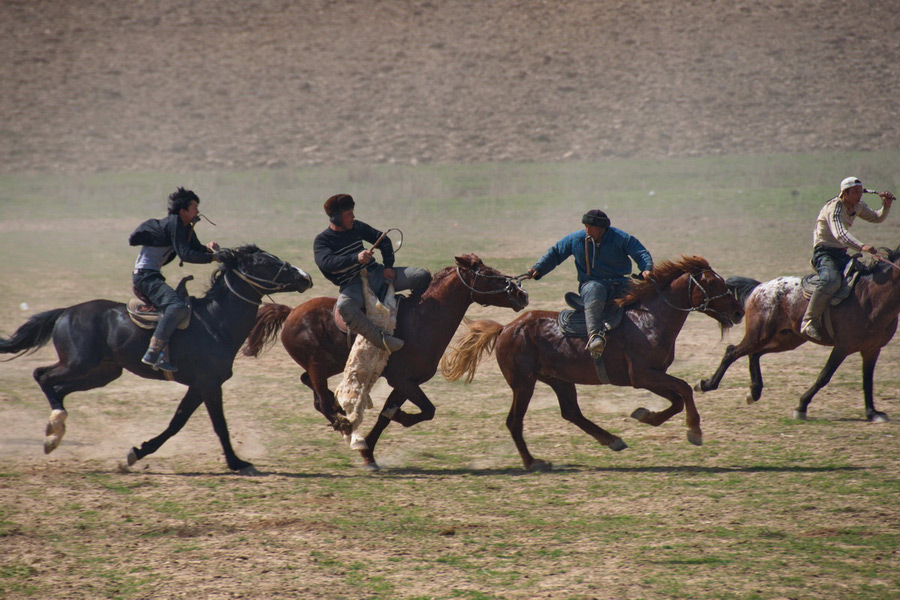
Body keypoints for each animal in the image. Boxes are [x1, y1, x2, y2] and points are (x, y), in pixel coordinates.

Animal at [0, 245, 314, 474]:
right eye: (264, 262)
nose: (305, 277)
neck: (215, 322)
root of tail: (66, 312)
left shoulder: (198, 386)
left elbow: (177, 423)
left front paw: (136, 453)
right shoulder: (210, 384)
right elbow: (219, 426)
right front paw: (237, 463)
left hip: (102, 373)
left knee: (59, 388)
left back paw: (55, 432)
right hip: (79, 364)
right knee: (42, 375)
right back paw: (53, 431)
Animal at [243, 253, 532, 468]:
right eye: (489, 275)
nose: (521, 294)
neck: (422, 319)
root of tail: (292, 312)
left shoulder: (405, 384)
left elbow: (387, 416)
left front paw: (368, 452)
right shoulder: (404, 381)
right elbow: (427, 410)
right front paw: (398, 420)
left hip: (329, 365)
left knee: (312, 388)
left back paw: (340, 414)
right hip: (318, 364)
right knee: (321, 398)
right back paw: (342, 420)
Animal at [442, 255, 744, 472]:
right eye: (712, 283)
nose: (739, 311)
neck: (650, 319)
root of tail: (506, 328)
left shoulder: (652, 376)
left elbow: (677, 399)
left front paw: (645, 415)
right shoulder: (643, 376)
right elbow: (685, 390)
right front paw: (694, 431)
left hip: (559, 380)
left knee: (571, 412)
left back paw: (612, 440)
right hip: (523, 383)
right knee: (515, 421)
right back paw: (533, 462)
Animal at [696, 244, 900, 422]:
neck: (871, 298)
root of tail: (760, 287)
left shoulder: (872, 349)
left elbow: (868, 380)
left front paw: (872, 412)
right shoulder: (843, 347)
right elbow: (824, 376)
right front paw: (801, 406)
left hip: (786, 339)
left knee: (754, 354)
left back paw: (754, 392)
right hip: (759, 335)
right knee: (732, 351)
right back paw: (707, 384)